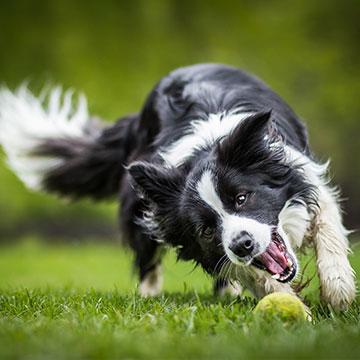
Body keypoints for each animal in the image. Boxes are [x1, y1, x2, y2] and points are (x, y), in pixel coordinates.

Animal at [0, 64, 354, 310]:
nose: (242, 245)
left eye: (242, 198)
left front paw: (338, 291)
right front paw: (284, 298)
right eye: (207, 230)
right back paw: (148, 296)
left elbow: (328, 228)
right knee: (147, 258)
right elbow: (250, 272)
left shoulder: (305, 175)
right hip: (139, 202)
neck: (208, 146)